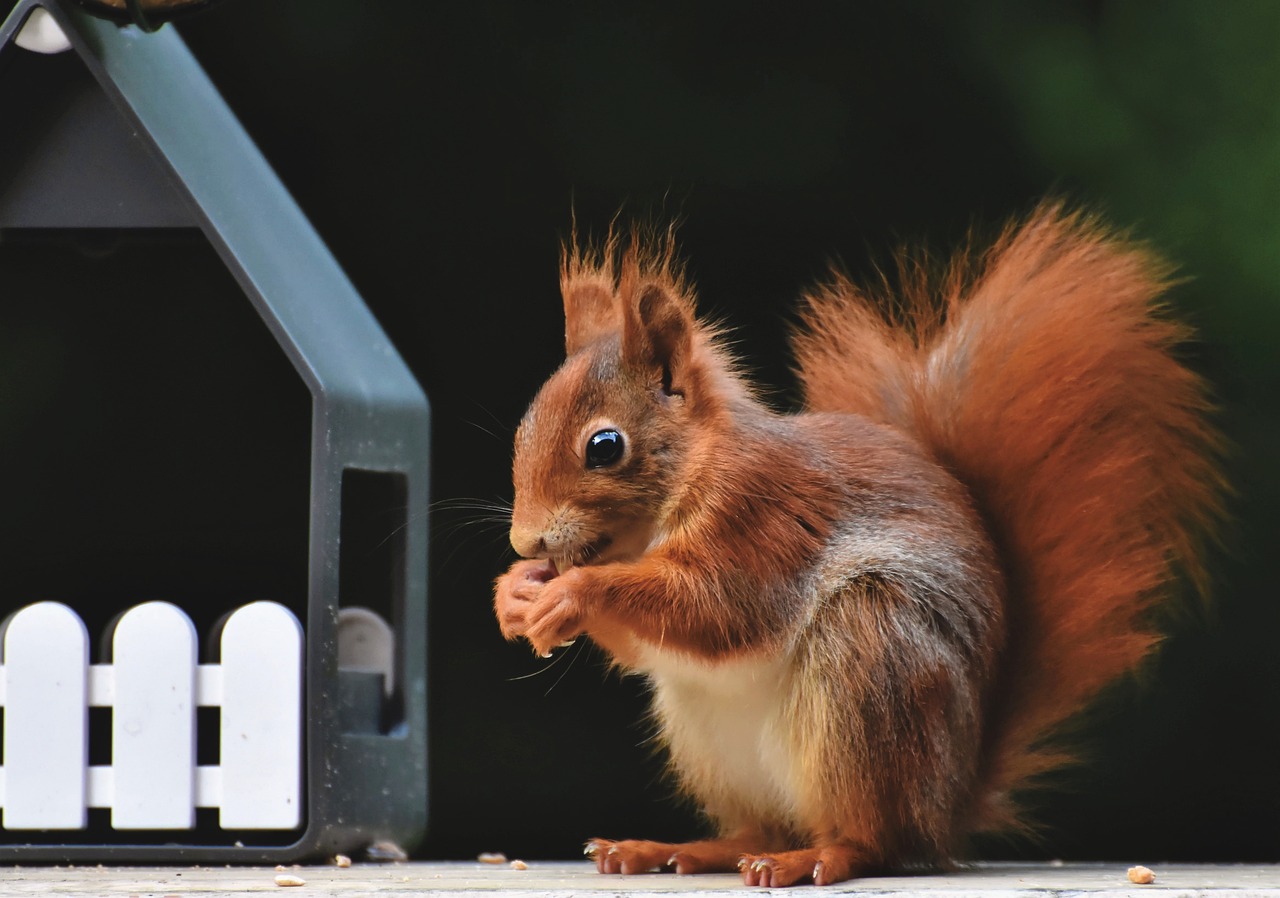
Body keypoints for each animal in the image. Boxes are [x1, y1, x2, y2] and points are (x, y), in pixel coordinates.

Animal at [491, 204, 1228, 885]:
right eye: (525, 427)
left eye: (604, 446)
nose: (526, 538)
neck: (674, 497)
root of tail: (948, 805)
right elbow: (647, 644)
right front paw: (516, 594)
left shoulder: (760, 519)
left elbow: (716, 608)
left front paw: (574, 592)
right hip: (710, 740)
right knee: (758, 829)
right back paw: (672, 849)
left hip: (871, 662)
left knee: (872, 841)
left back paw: (813, 857)